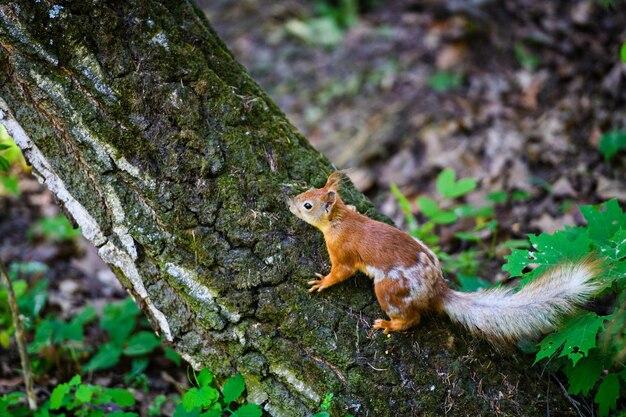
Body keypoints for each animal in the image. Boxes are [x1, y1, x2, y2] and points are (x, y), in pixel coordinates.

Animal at [288, 171, 600, 342]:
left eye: (308, 205)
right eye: (308, 190)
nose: (289, 202)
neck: (340, 219)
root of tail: (435, 290)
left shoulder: (342, 251)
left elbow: (341, 271)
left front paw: (322, 282)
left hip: (389, 290)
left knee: (412, 319)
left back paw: (389, 324)